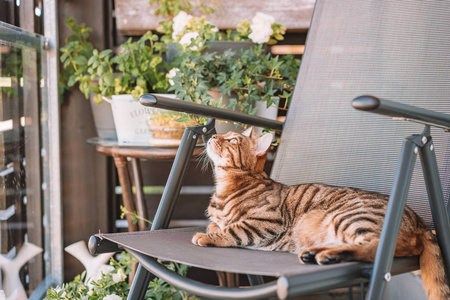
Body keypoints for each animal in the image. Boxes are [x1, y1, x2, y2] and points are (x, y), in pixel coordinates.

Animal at [192, 127, 448, 300]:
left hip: (350, 218)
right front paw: (212, 228)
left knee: (374, 247)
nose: (213, 136)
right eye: (224, 134)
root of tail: (420, 220)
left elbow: (232, 230)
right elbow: (216, 224)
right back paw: (315, 254)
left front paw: (208, 236)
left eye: (232, 140)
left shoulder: (267, 222)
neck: (225, 188)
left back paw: (326, 256)